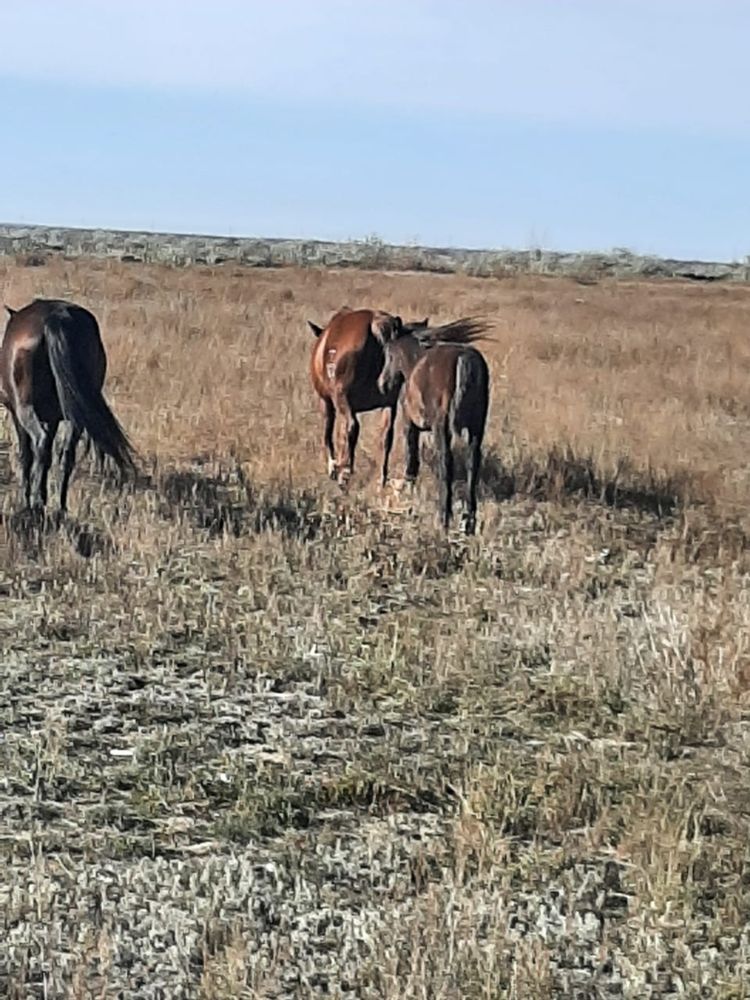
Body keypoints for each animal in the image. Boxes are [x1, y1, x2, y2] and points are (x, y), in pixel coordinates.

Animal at [0, 296, 137, 516]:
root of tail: (57, 318)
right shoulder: (54, 419)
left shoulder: (17, 415)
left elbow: (27, 454)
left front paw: (28, 498)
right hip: (75, 417)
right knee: (66, 454)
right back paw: (61, 505)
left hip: (25, 410)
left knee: (40, 444)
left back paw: (35, 503)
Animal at [306, 308, 428, 488]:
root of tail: (376, 326)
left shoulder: (327, 401)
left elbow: (329, 434)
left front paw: (334, 468)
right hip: (389, 402)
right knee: (386, 436)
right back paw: (381, 479)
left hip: (342, 399)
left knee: (352, 427)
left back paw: (345, 475)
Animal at [376, 318, 494, 540]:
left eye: (387, 352)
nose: (382, 384)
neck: (413, 364)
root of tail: (464, 360)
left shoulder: (410, 425)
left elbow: (412, 461)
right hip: (476, 429)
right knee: (472, 464)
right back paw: (468, 522)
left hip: (443, 428)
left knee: (446, 463)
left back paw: (443, 519)